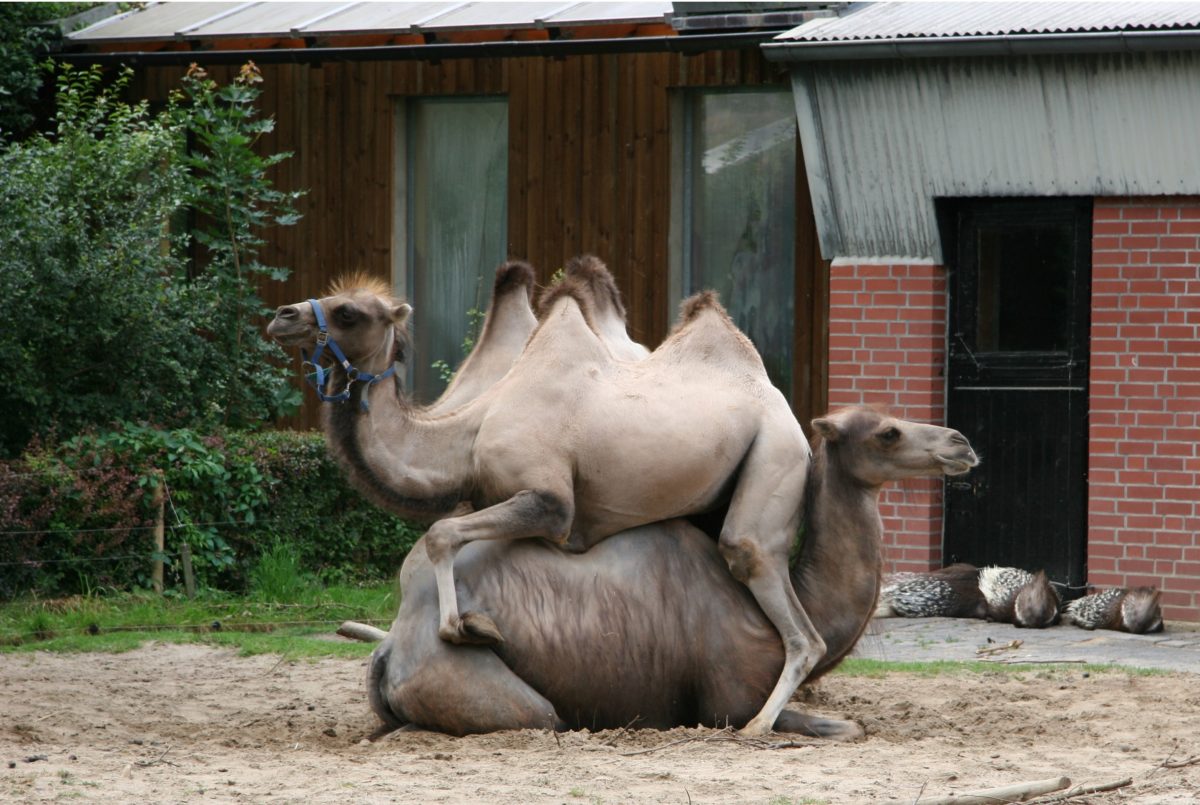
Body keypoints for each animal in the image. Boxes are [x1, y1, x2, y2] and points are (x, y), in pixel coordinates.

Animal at [270, 257, 816, 739]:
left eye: (349, 312)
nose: (282, 314)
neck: (468, 435)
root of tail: (783, 405)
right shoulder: (483, 498)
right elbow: (442, 544)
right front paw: (469, 625)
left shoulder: (550, 502)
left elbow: (440, 534)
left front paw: (463, 629)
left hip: (776, 452)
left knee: (767, 579)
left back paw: (759, 723)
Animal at [369, 410, 979, 739]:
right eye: (888, 432)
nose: (961, 442)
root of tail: (393, 647)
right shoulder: (727, 704)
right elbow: (841, 725)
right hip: (509, 699)